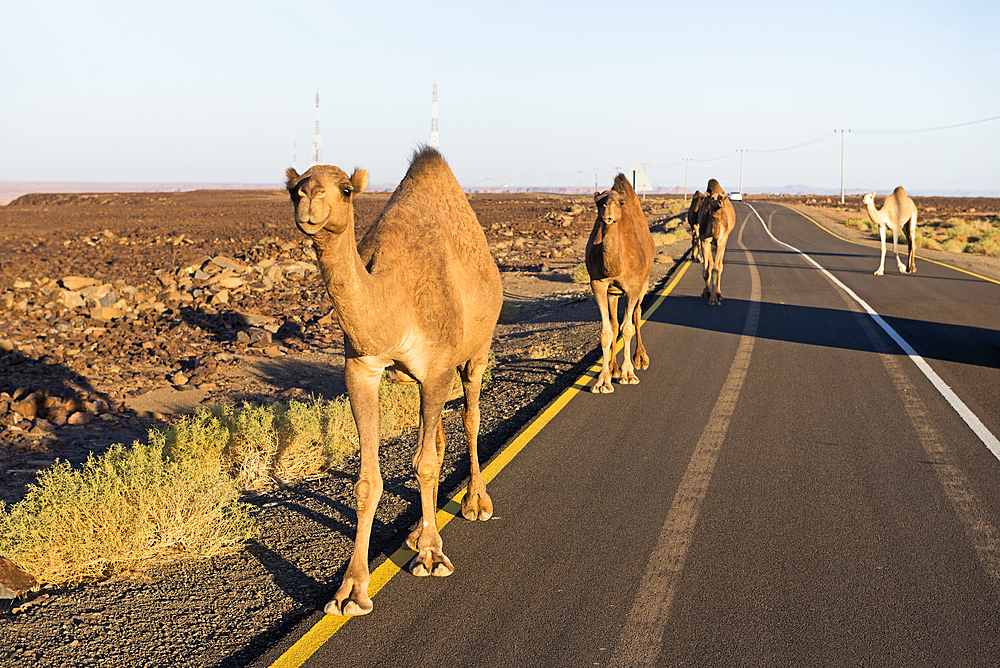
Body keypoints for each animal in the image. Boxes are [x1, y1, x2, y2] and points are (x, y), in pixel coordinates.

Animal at [286, 146, 504, 616]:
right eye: (293, 188)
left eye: (345, 189)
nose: (310, 199)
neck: (392, 297)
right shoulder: (362, 369)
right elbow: (369, 480)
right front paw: (350, 591)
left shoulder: (437, 367)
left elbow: (424, 463)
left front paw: (432, 557)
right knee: (439, 437)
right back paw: (418, 530)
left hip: (476, 352)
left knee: (470, 419)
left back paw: (475, 503)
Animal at [584, 172, 656, 394]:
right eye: (598, 201)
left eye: (621, 202)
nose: (607, 214)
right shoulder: (598, 284)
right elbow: (607, 331)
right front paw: (603, 381)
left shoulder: (633, 287)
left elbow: (627, 329)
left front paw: (629, 374)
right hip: (614, 293)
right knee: (615, 324)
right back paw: (614, 368)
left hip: (644, 283)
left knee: (636, 314)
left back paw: (640, 359)